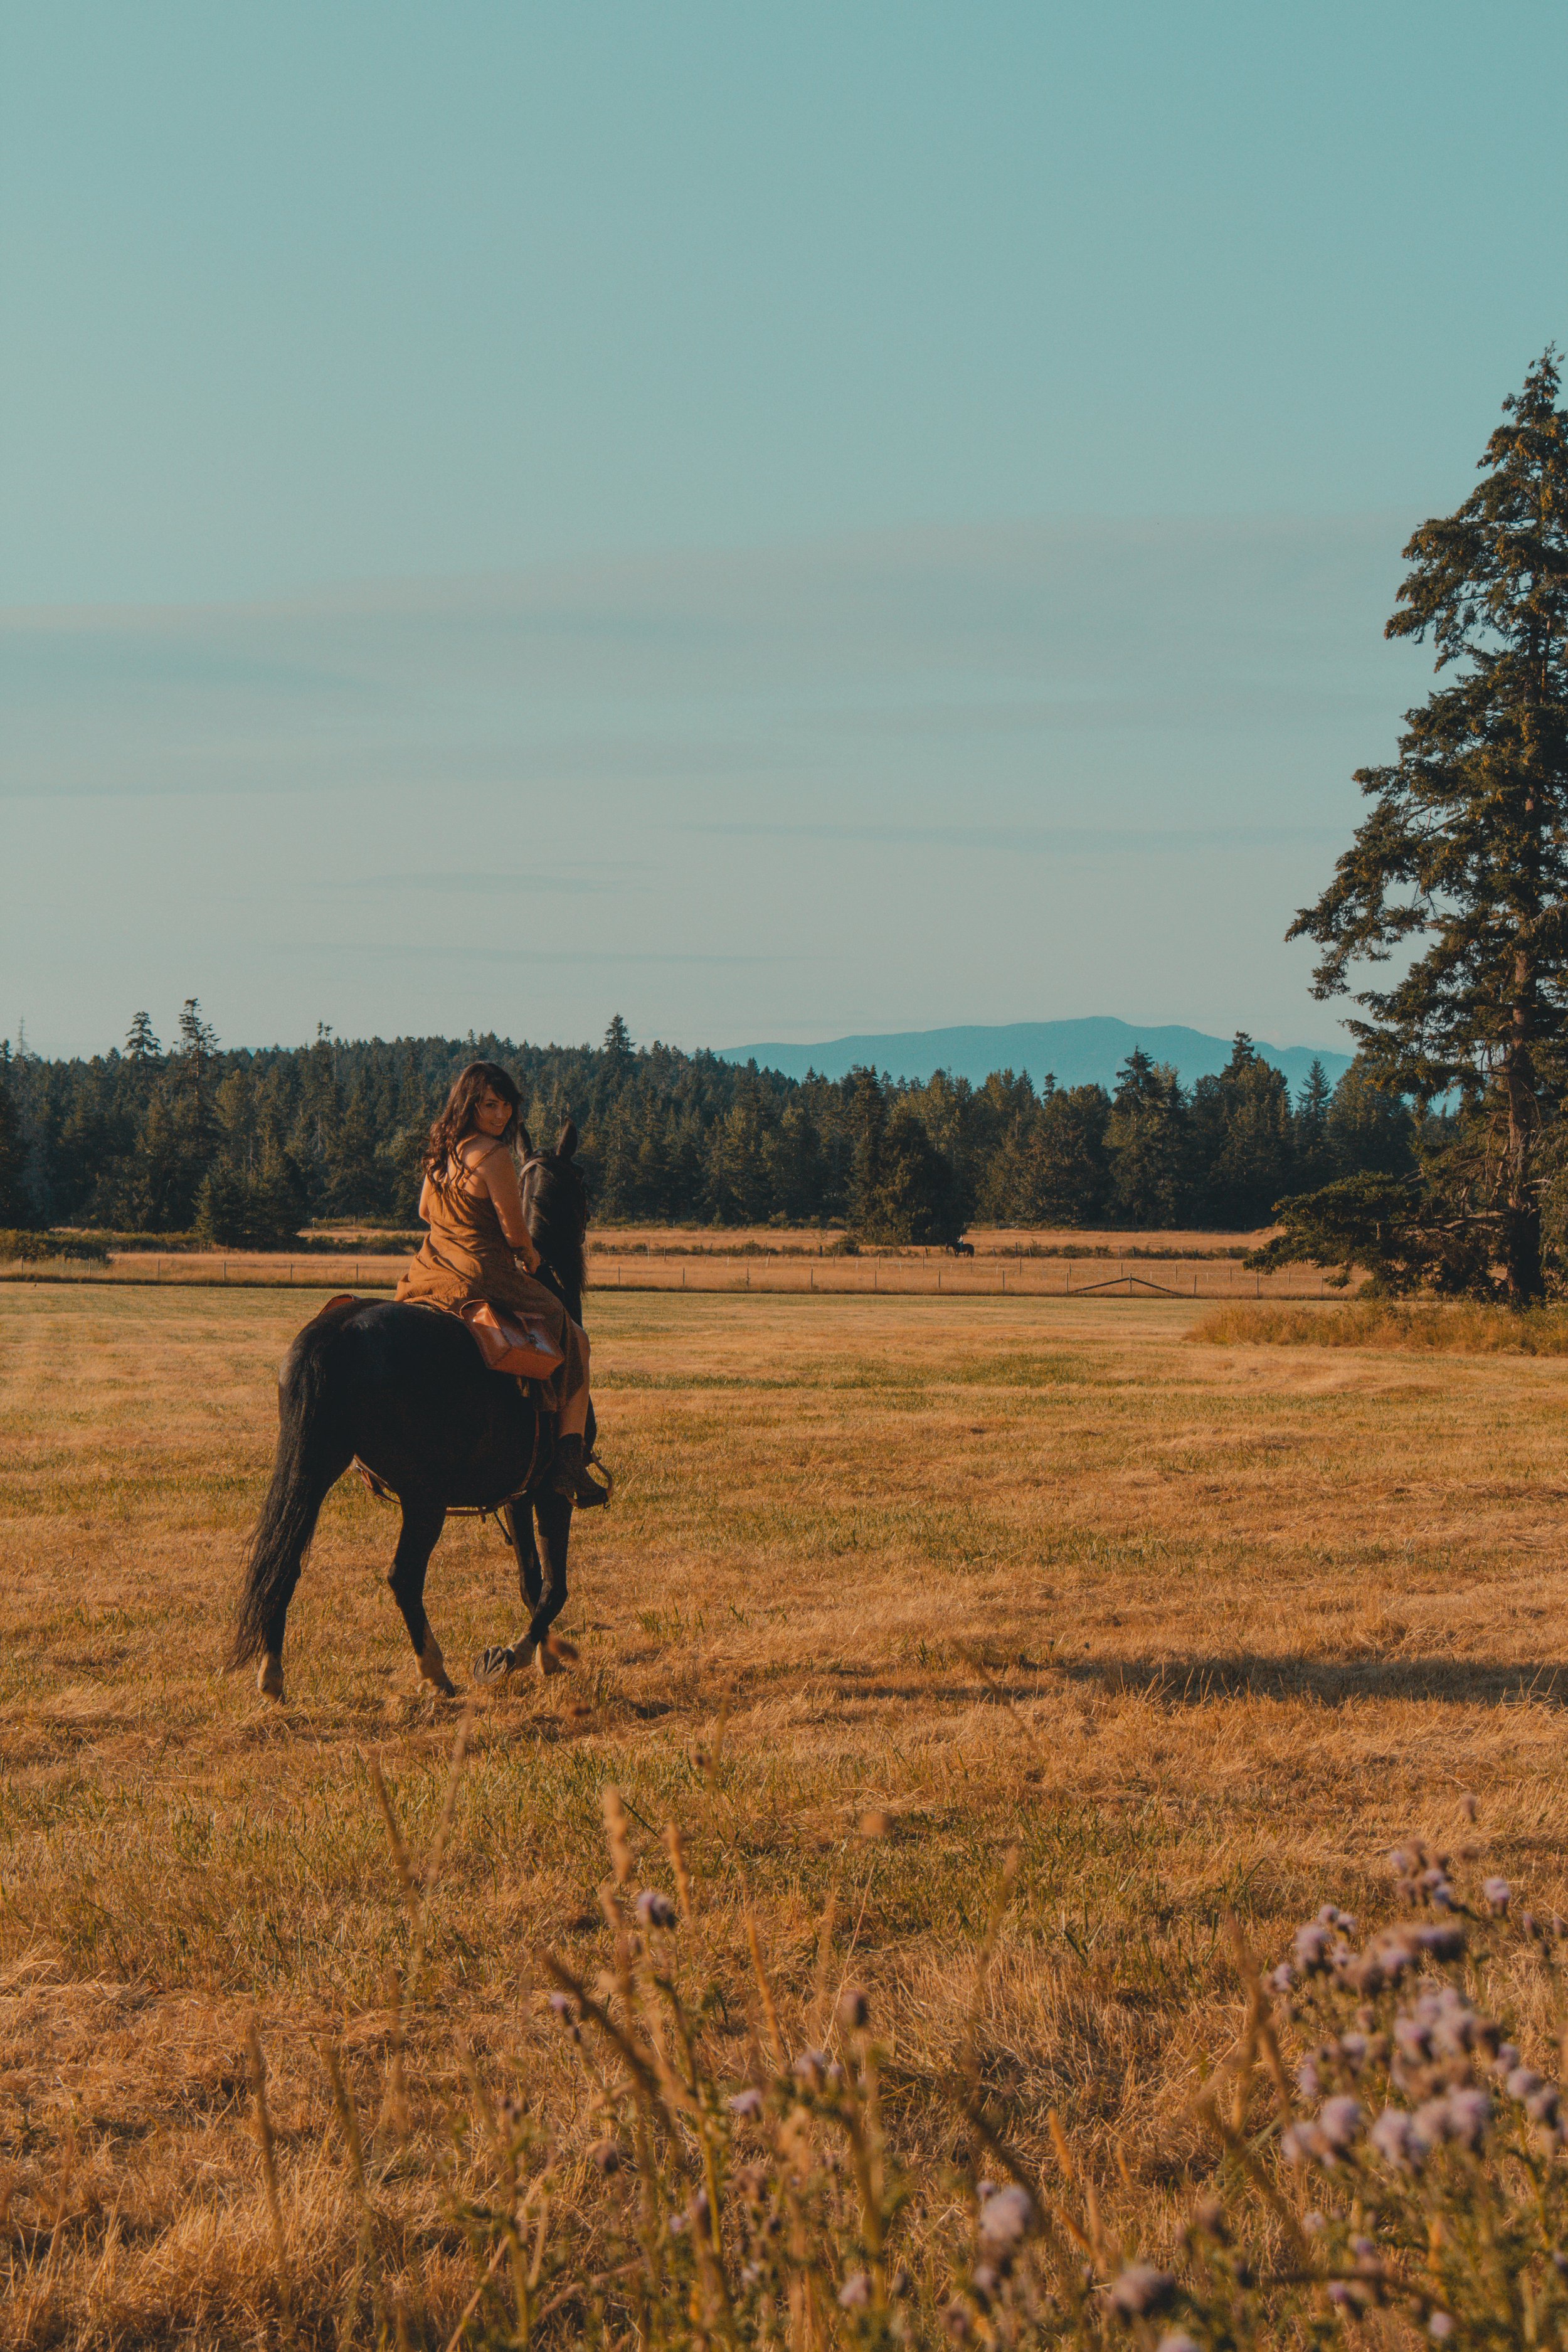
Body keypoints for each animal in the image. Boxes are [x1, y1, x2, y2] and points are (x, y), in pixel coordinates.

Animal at [229, 1121, 596, 1702]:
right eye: (582, 1186)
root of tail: (336, 1329)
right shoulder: (550, 1491)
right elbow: (554, 1588)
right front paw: (511, 1656)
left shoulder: (516, 1495)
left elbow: (530, 1581)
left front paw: (546, 1658)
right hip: (424, 1497)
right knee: (404, 1576)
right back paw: (436, 1672)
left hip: (315, 1469)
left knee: (282, 1563)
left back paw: (273, 1675)